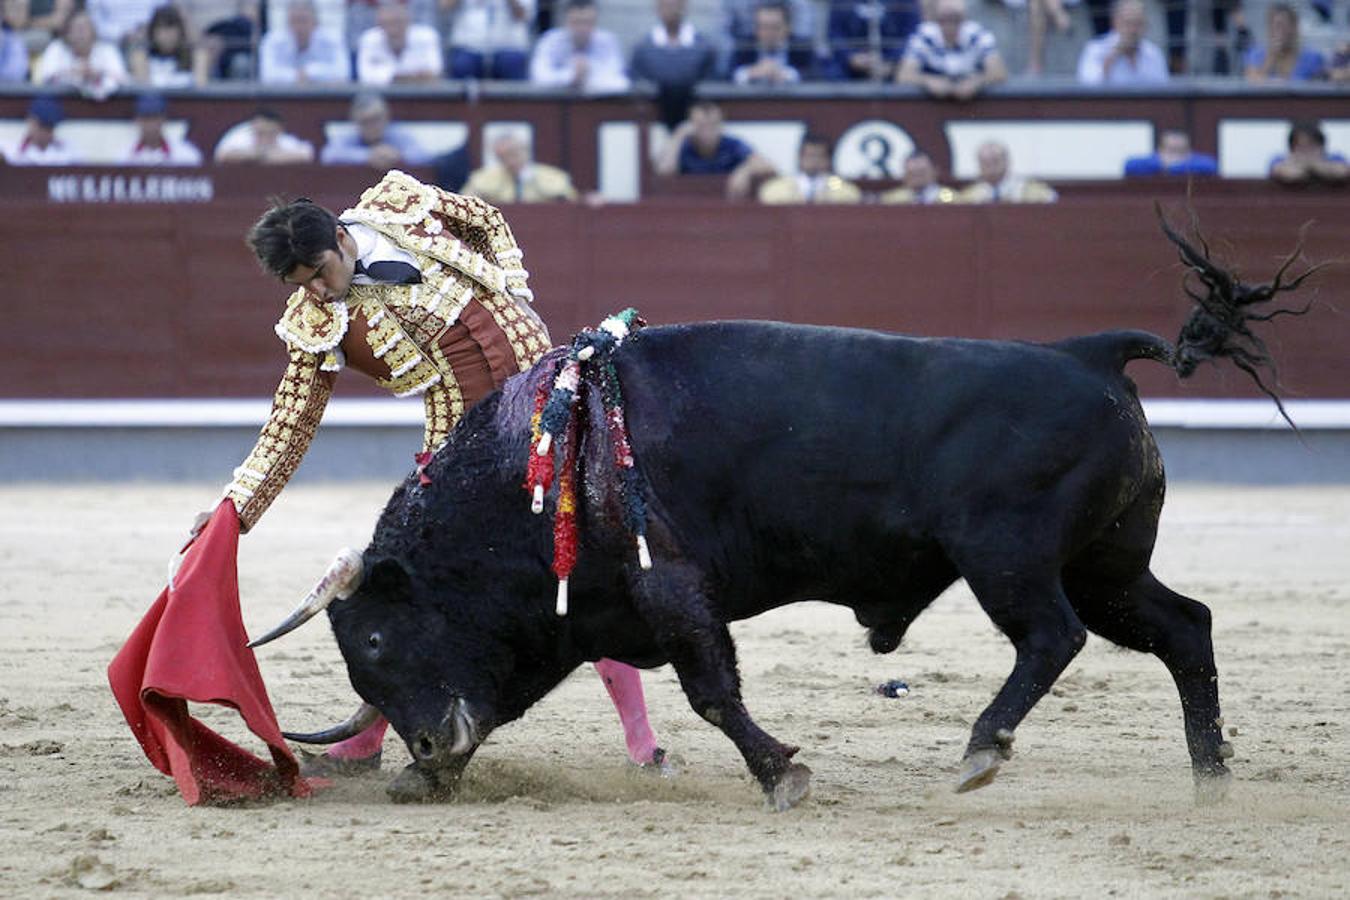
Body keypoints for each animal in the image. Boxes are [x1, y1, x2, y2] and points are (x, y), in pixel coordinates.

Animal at [274, 219, 1317, 809]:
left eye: (374, 641)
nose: (427, 744)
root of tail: (1089, 352)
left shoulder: (673, 590)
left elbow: (713, 692)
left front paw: (784, 775)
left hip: (1009, 556)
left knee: (1054, 636)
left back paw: (982, 751)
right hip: (1107, 563)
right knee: (1184, 626)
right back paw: (1211, 780)